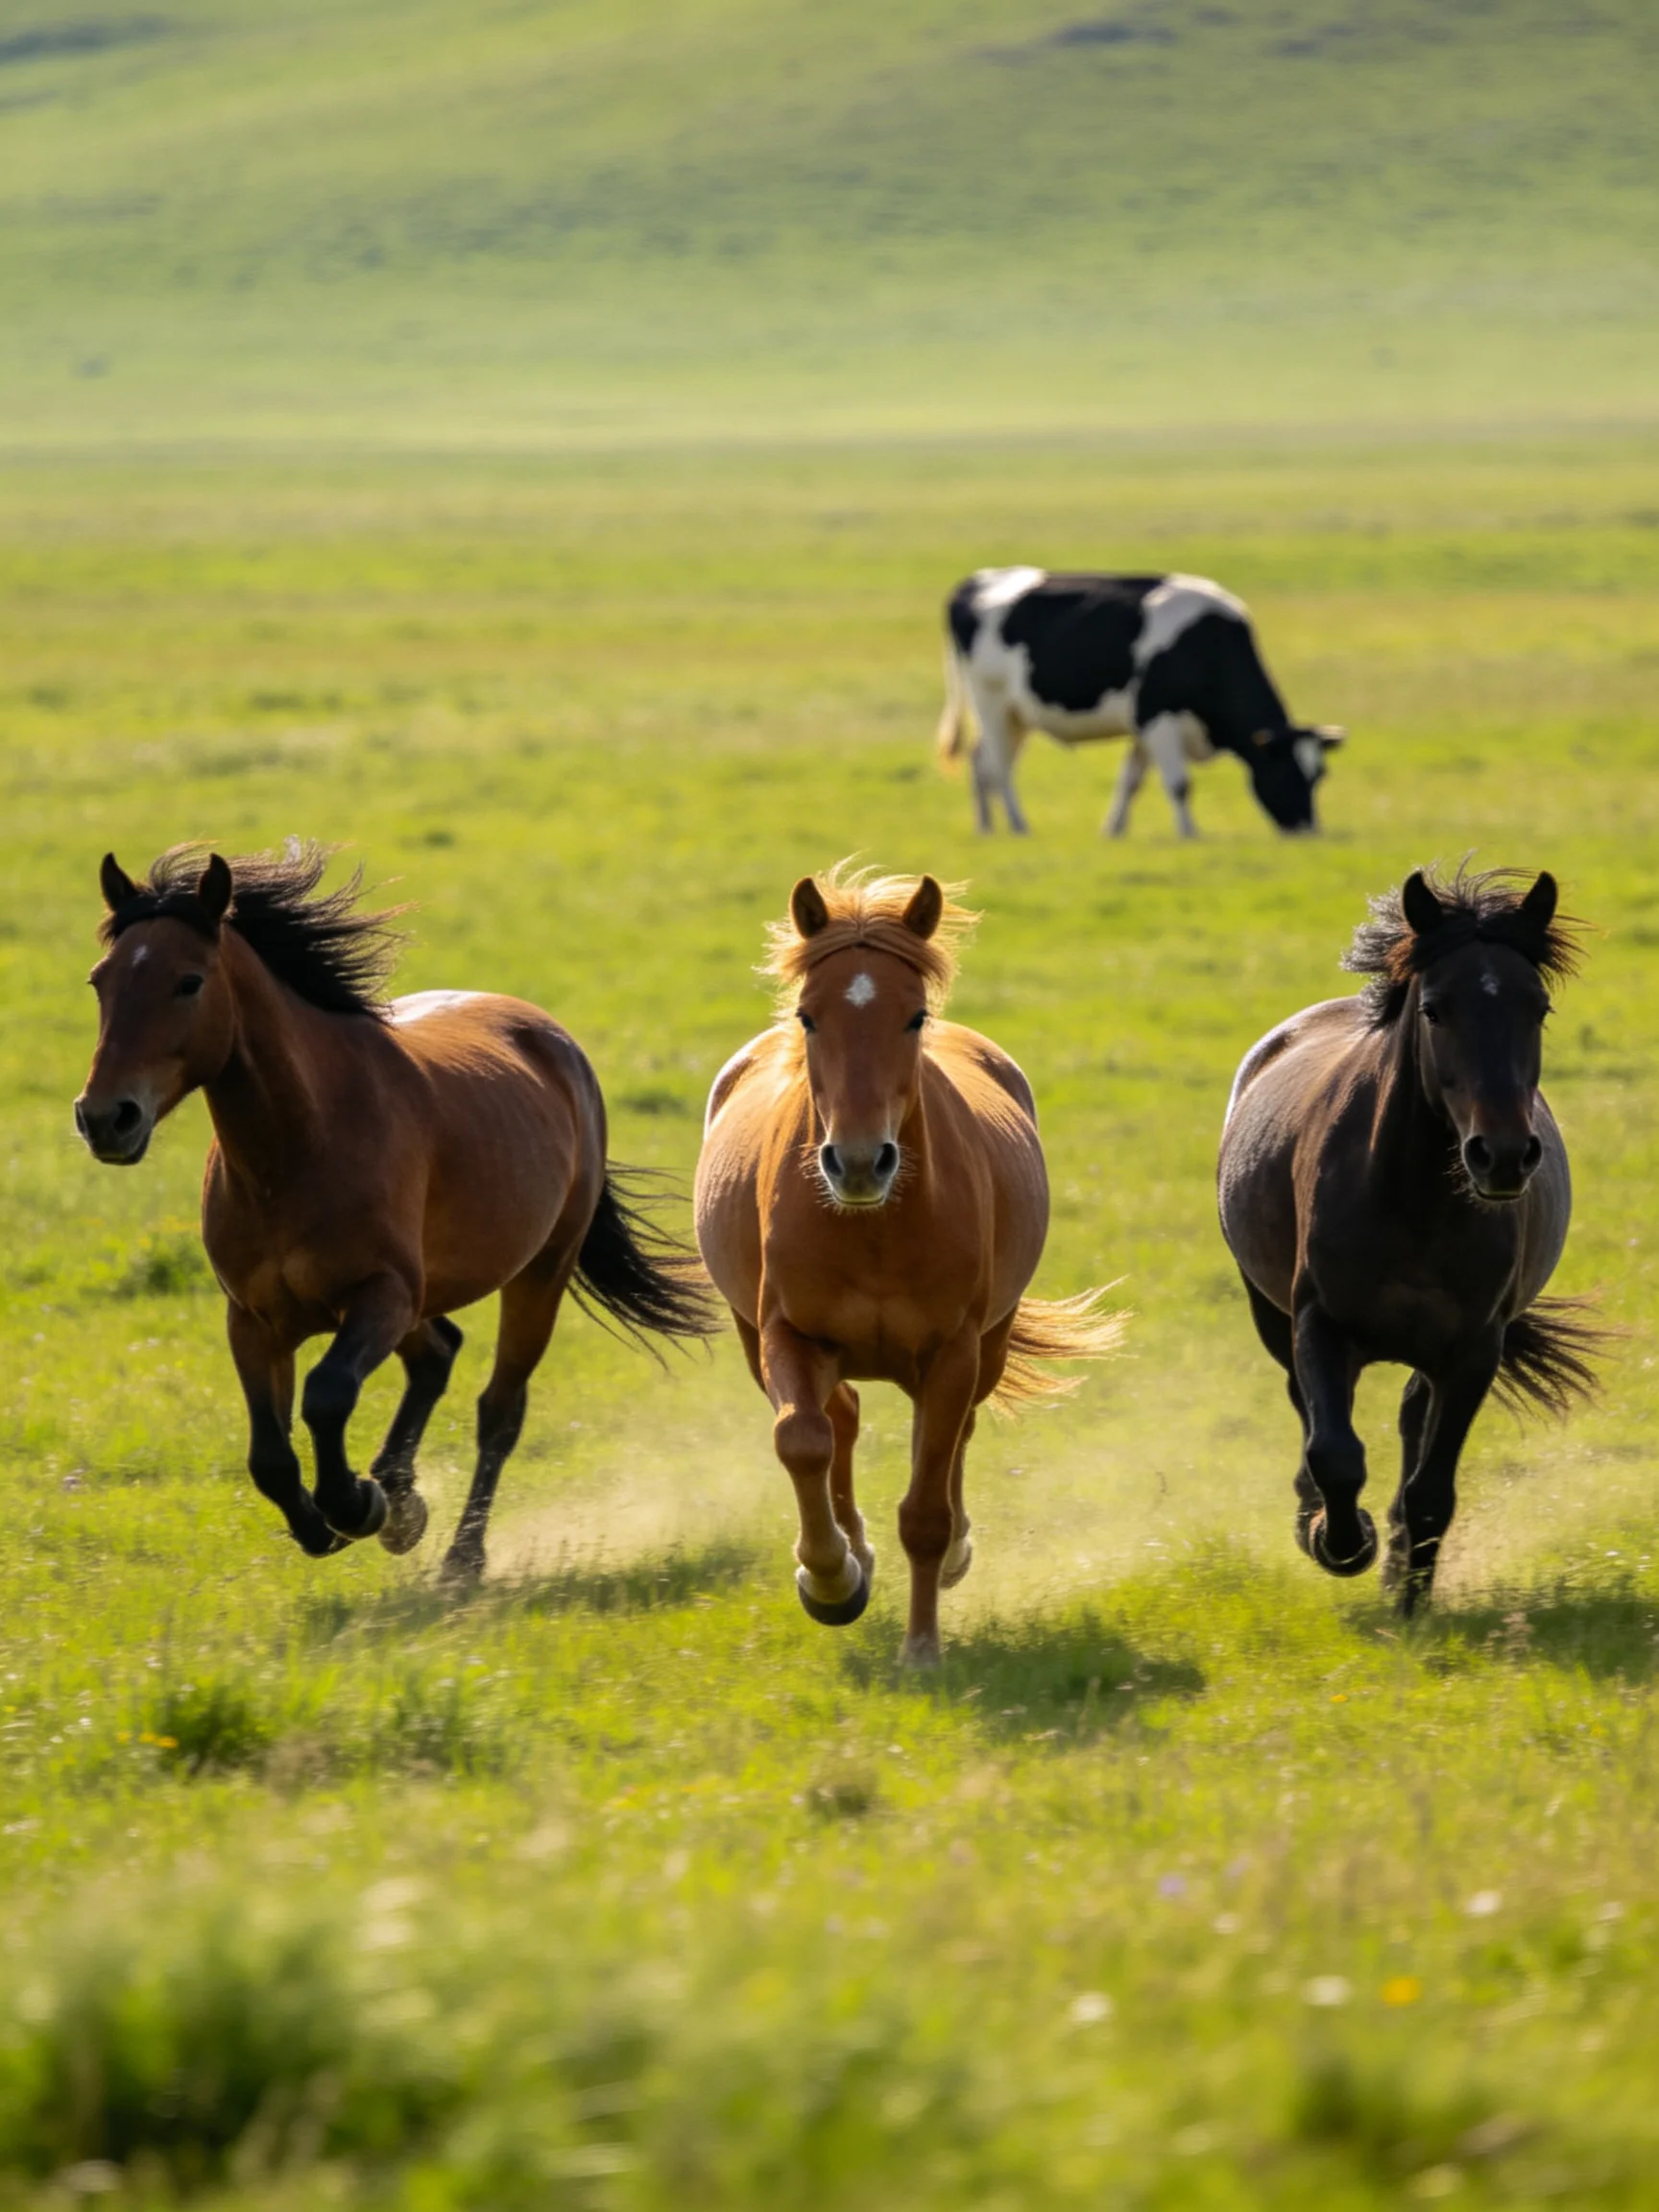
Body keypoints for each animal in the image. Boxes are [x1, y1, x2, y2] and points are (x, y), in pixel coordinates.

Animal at [75, 844, 716, 1578]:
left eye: (188, 981)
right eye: (99, 981)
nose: (105, 1118)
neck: (298, 1149)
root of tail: (554, 1042)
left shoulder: (380, 1296)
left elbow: (327, 1394)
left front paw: (357, 1504)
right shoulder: (254, 1319)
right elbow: (268, 1455)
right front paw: (341, 1517)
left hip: (538, 1273)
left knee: (499, 1409)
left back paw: (460, 1561)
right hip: (425, 1296)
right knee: (438, 1354)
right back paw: (404, 1497)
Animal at [694, 866, 1122, 1665]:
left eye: (914, 1016)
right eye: (808, 1016)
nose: (860, 1161)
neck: (874, 1231)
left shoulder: (953, 1351)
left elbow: (925, 1505)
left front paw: (922, 1646)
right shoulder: (783, 1334)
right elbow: (802, 1440)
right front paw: (830, 1579)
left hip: (985, 1346)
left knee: (951, 1437)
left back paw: (951, 1551)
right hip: (762, 1339)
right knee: (840, 1419)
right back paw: (851, 1550)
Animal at [936, 567, 1344, 838]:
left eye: (1319, 776)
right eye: (1285, 771)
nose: (1308, 830)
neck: (1205, 647)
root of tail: (976, 580)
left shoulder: (1143, 724)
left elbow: (1130, 781)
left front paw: (1114, 830)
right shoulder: (1159, 717)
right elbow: (1179, 783)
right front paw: (1189, 833)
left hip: (1017, 714)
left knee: (981, 761)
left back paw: (987, 826)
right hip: (991, 701)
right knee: (999, 767)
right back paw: (1019, 825)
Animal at [1218, 864, 1602, 1614]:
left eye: (1537, 1008)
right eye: (1434, 1009)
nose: (1502, 1156)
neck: (1413, 1202)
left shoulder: (1475, 1348)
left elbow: (1431, 1486)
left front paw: (1408, 1596)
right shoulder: (1318, 1322)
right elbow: (1334, 1453)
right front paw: (1342, 1543)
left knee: (1409, 1419)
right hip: (1269, 1311)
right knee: (1308, 1408)